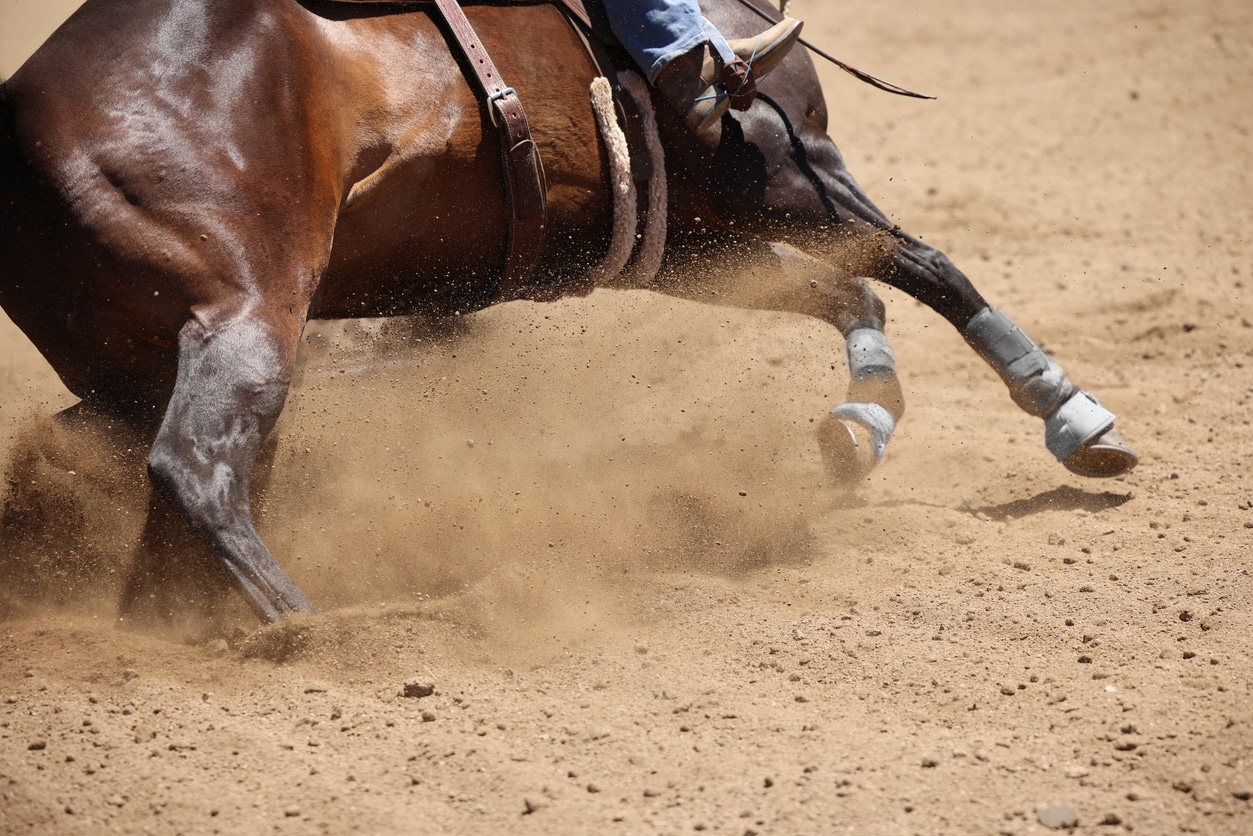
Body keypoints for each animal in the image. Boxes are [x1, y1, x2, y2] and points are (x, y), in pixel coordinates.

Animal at [0, 0, 1137, 625]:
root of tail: (19, 127)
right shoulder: (779, 168)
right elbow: (926, 267)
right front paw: (1073, 417)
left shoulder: (676, 243)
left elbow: (850, 290)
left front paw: (856, 427)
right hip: (247, 314)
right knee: (194, 470)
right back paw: (315, 627)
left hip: (137, 359)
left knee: (147, 466)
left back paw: (168, 622)